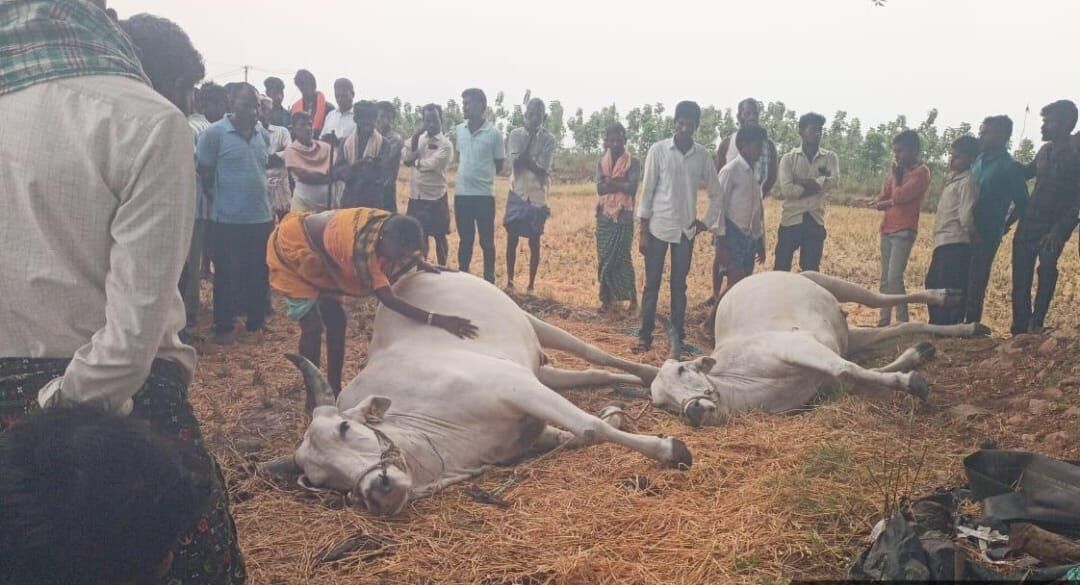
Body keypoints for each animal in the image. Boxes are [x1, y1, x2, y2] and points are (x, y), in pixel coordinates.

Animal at [264, 271, 692, 516]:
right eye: (319, 480)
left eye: (345, 429)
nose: (378, 491)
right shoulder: (530, 424)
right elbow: (579, 435)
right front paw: (614, 412)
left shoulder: (516, 386)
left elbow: (589, 428)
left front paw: (670, 448)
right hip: (540, 366)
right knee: (586, 371)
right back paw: (636, 381)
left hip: (530, 320)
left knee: (593, 352)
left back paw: (651, 373)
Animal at [636, 271, 991, 427]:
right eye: (661, 403)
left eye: (682, 368)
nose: (694, 410)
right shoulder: (827, 381)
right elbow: (857, 373)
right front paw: (916, 358)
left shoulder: (798, 346)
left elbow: (844, 368)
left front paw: (911, 382)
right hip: (849, 332)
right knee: (900, 327)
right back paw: (964, 329)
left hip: (829, 281)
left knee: (880, 298)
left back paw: (946, 296)